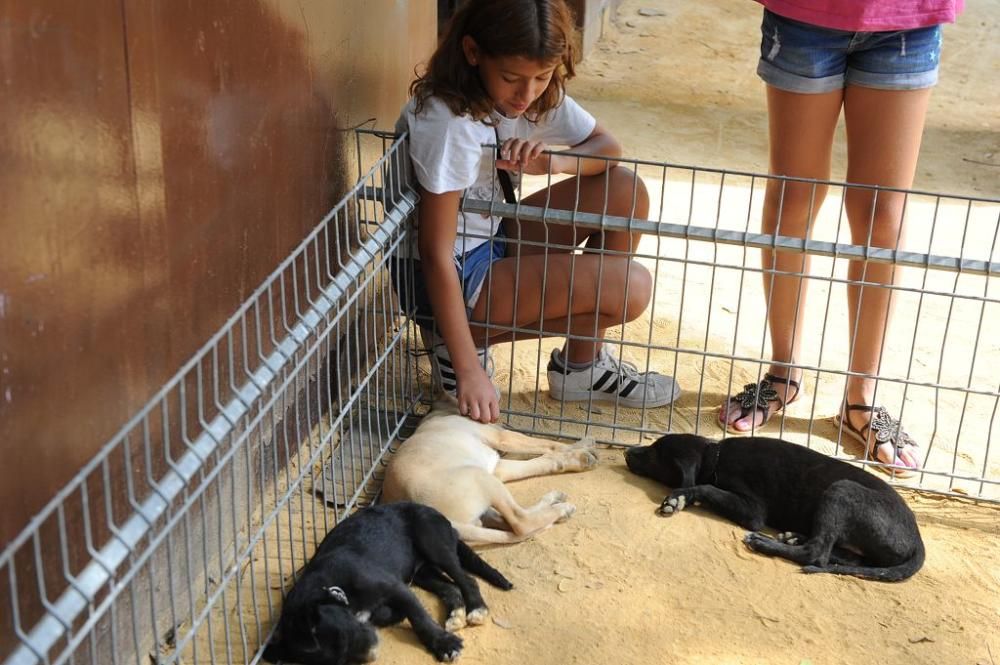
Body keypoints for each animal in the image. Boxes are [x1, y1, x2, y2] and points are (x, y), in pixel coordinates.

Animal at [262, 500, 512, 660]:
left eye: (343, 636)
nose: (371, 654)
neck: (331, 588)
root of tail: (442, 517)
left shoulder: (394, 588)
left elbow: (419, 617)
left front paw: (444, 644)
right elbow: (389, 613)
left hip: (433, 542)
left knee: (467, 580)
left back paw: (476, 609)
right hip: (422, 572)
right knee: (450, 588)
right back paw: (455, 614)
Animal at [382, 400, 600, 544]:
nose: (499, 420)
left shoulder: (496, 466)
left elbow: (542, 460)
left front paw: (577, 456)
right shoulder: (503, 438)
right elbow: (549, 444)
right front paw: (582, 448)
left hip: (487, 491)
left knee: (509, 521)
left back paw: (554, 502)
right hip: (480, 477)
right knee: (520, 522)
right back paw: (560, 509)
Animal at [628, 430, 924, 580]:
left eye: (655, 454)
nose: (627, 452)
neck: (715, 455)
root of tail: (917, 539)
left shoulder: (753, 510)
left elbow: (706, 487)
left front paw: (678, 496)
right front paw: (680, 499)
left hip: (842, 490)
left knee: (817, 553)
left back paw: (765, 543)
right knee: (844, 554)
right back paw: (794, 537)